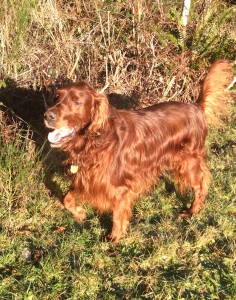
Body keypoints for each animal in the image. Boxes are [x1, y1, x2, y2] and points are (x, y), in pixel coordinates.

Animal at [44, 61, 232, 244]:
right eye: (56, 97)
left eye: (77, 102)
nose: (48, 116)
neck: (95, 140)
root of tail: (197, 108)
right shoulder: (85, 178)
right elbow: (67, 198)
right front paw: (80, 213)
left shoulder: (119, 188)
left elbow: (117, 216)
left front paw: (113, 239)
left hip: (189, 163)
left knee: (200, 186)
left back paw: (192, 211)